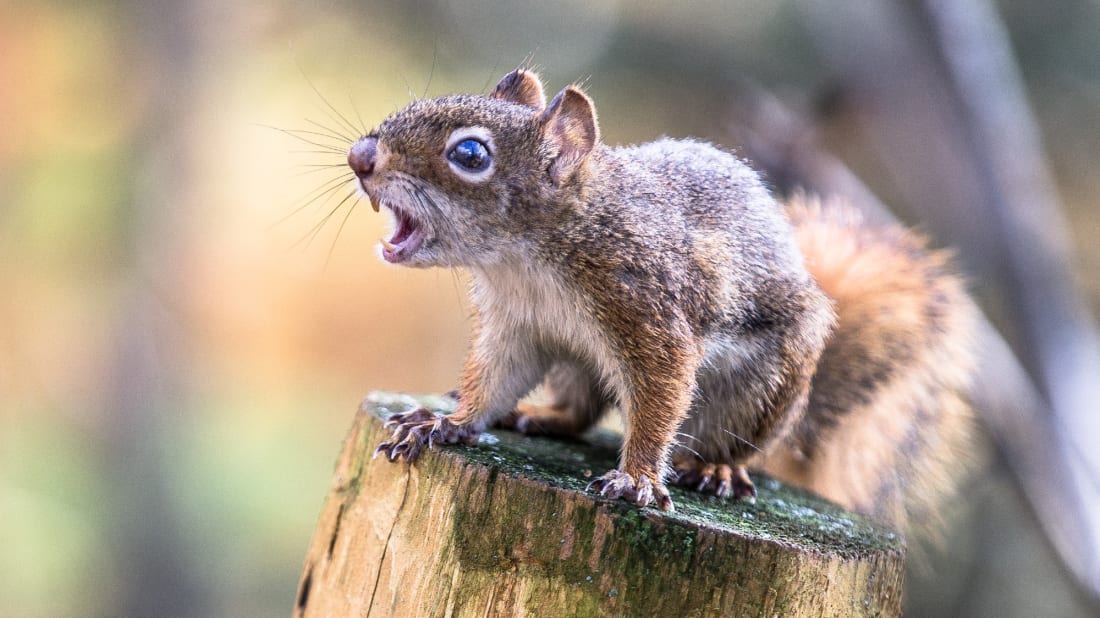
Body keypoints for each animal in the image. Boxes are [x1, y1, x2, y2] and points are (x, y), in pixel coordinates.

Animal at [356, 66, 976, 530]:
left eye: (469, 155)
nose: (360, 157)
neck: (525, 259)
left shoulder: (648, 308)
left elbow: (659, 397)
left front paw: (636, 478)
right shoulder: (517, 326)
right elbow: (493, 379)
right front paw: (446, 423)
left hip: (760, 389)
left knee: (729, 442)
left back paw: (716, 469)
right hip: (576, 363)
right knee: (580, 411)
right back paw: (535, 415)